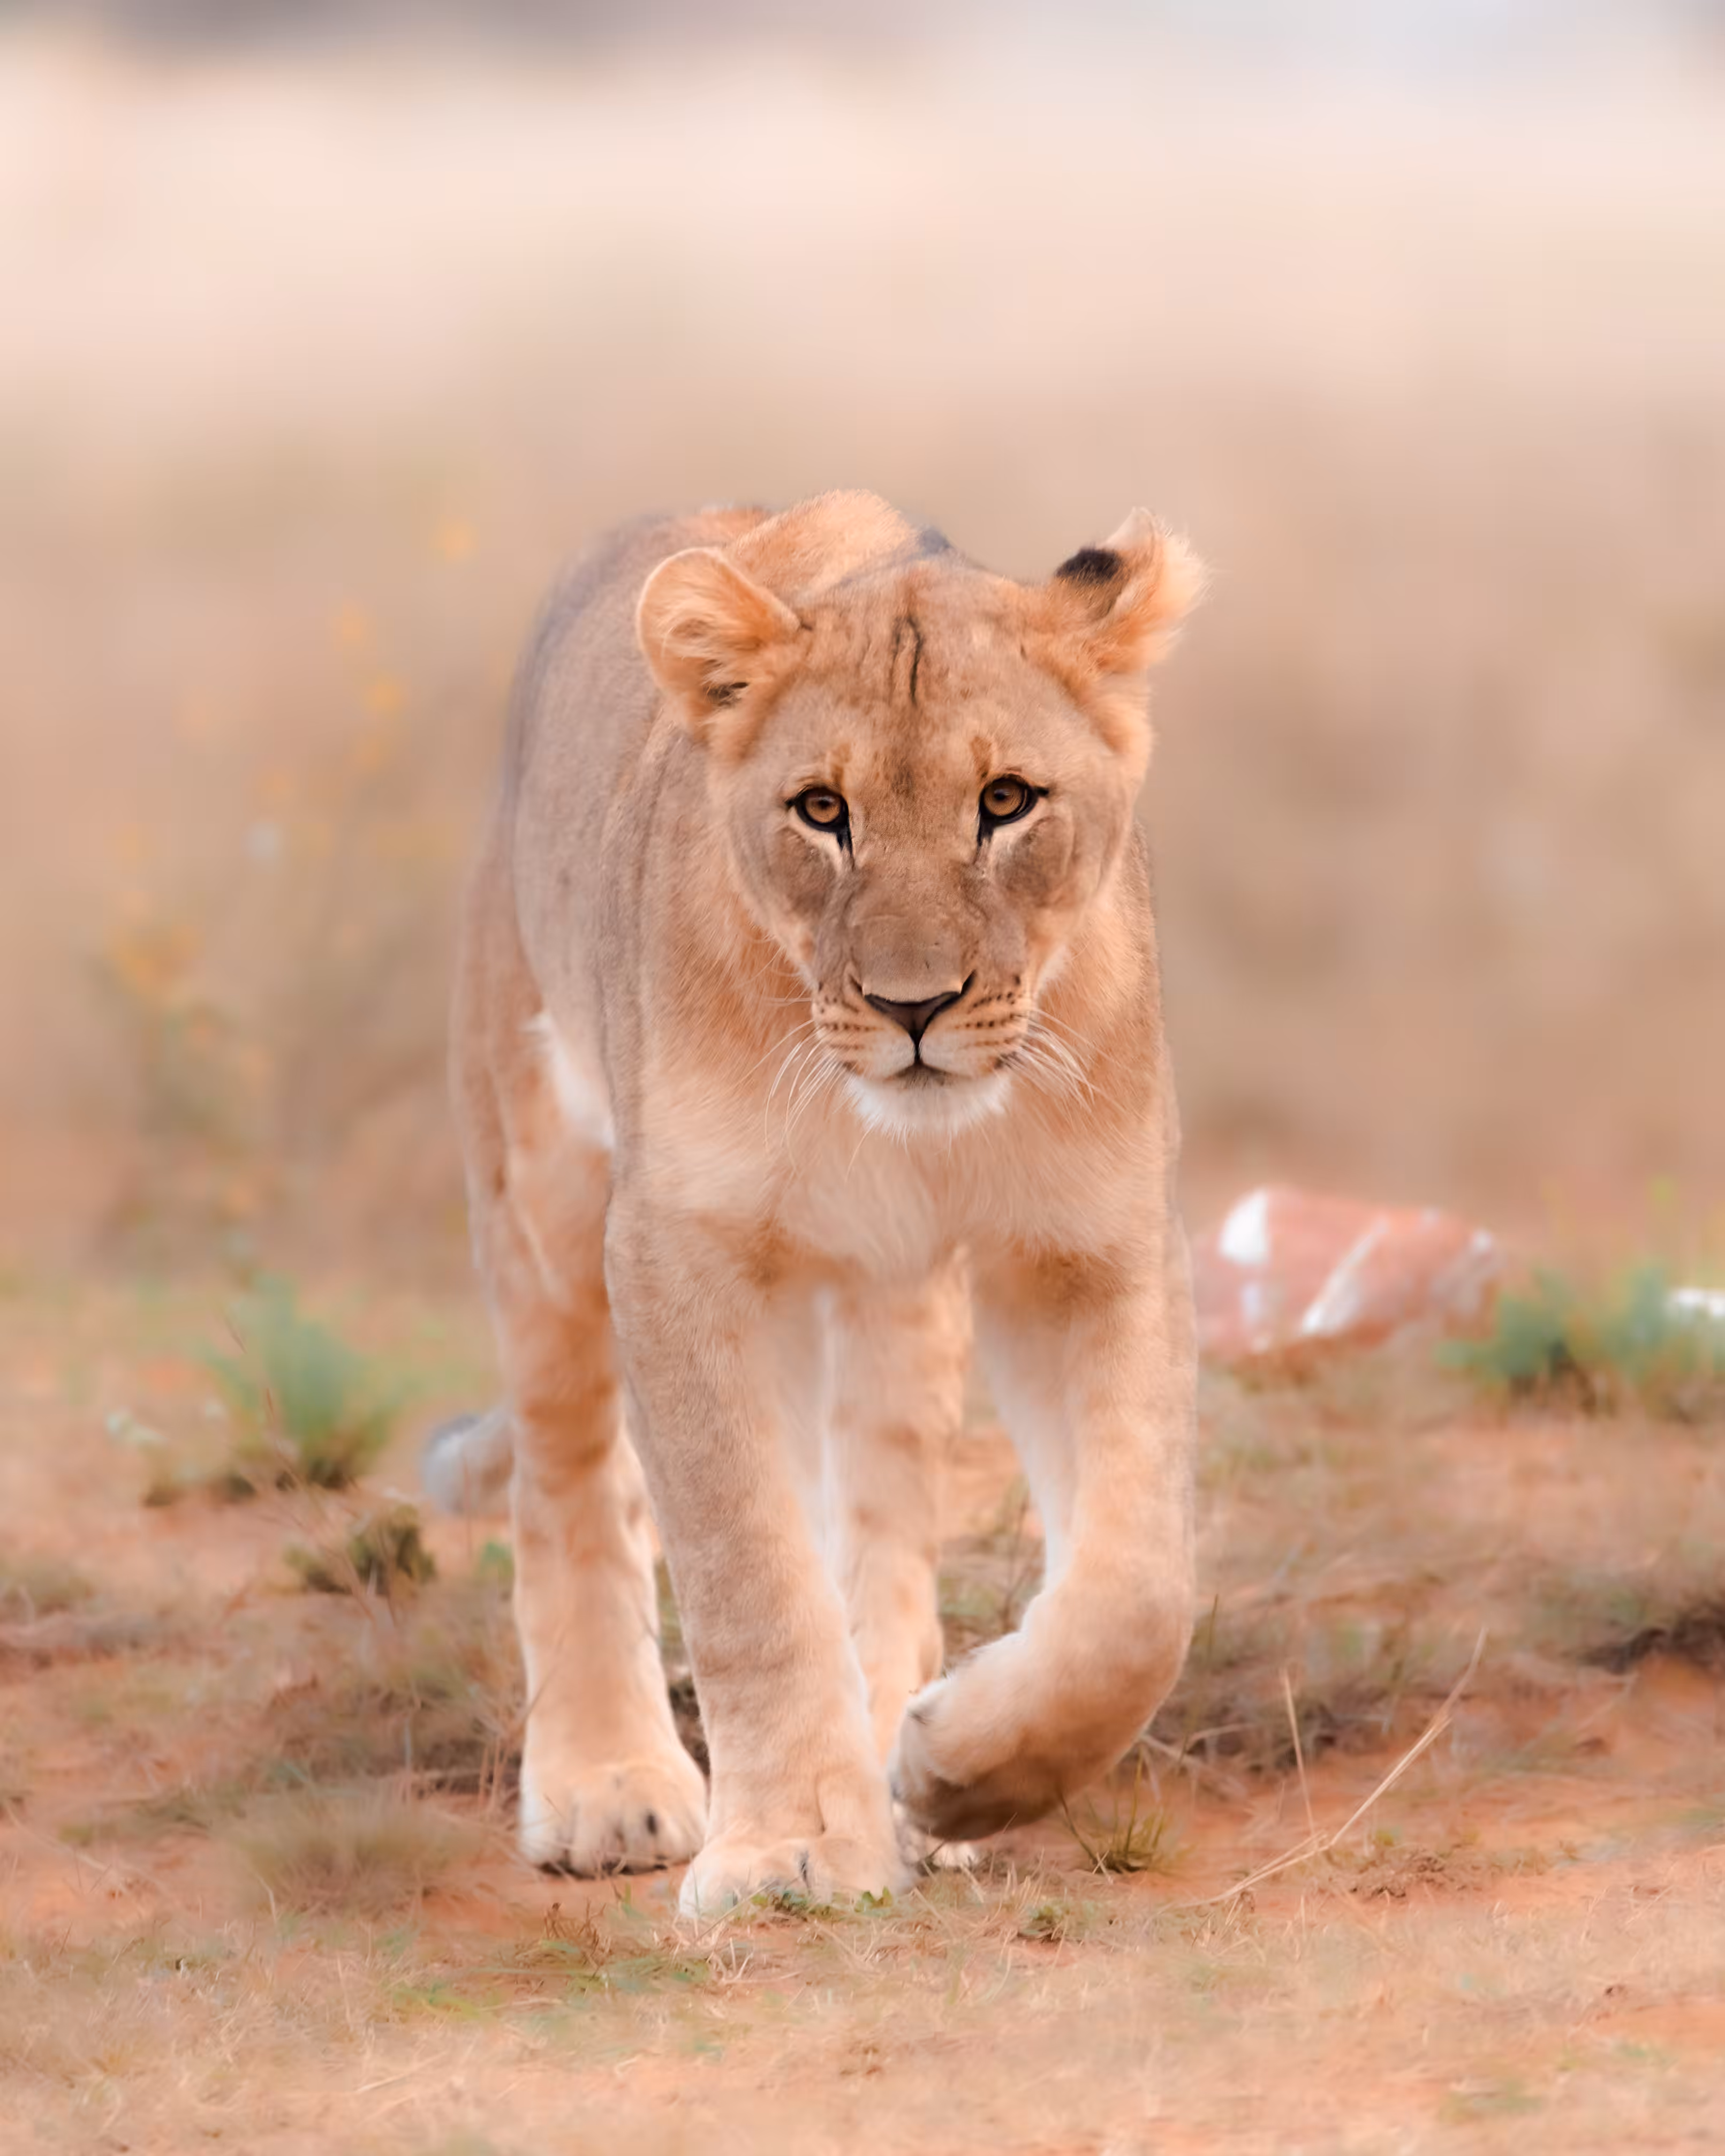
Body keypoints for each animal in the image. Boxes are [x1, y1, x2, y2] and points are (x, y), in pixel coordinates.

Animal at [425, 491, 1204, 1917]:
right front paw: (787, 1849)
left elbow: (1134, 1594)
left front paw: (955, 1772)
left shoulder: (1091, 1242)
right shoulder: (679, 1249)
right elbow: (748, 1570)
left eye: (1005, 801)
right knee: (569, 1479)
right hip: (537, 1179)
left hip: (890, 1299)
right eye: (821, 809)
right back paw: (608, 1781)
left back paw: (900, 1778)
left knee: (881, 1530)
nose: (914, 1006)